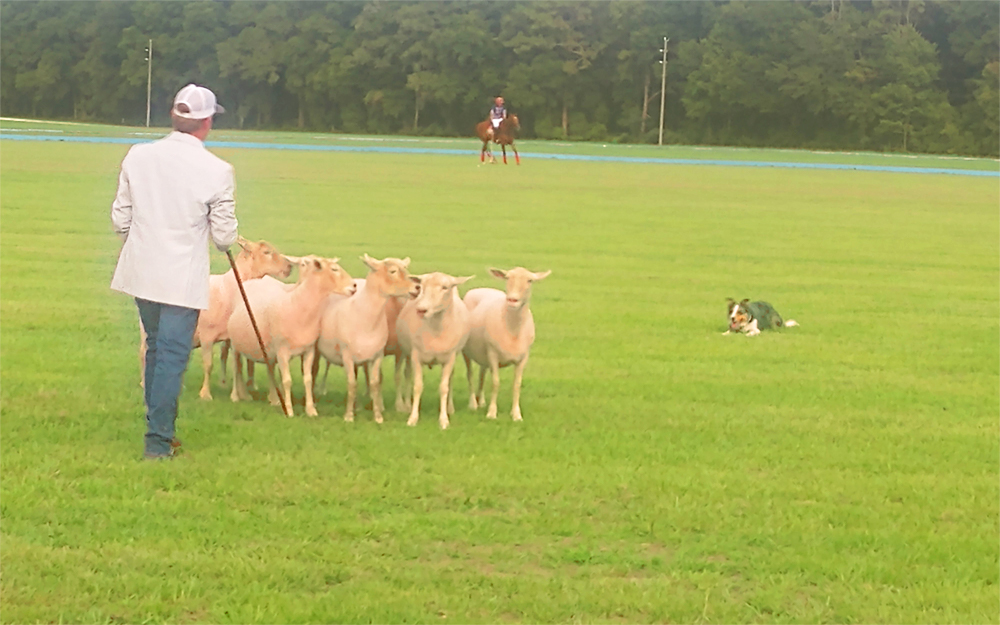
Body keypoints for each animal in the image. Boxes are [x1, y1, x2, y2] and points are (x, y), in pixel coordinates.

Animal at [227, 254, 356, 414]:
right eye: (334, 269)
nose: (354, 285)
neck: (297, 305)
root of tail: (253, 281)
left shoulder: (309, 350)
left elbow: (308, 379)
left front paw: (310, 409)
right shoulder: (282, 350)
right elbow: (287, 380)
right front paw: (289, 410)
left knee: (268, 369)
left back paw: (274, 399)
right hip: (235, 343)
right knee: (236, 367)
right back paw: (236, 396)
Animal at [318, 254, 416, 424]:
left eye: (406, 269)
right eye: (393, 271)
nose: (418, 287)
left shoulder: (378, 355)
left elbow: (376, 383)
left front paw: (378, 415)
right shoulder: (347, 355)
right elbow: (351, 384)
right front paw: (349, 416)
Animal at [396, 272, 474, 428]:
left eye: (445, 287)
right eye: (422, 287)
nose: (421, 310)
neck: (436, 329)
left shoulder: (449, 358)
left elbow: (444, 387)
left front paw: (444, 420)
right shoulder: (415, 355)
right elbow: (417, 386)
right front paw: (413, 418)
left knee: (450, 380)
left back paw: (450, 408)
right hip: (406, 352)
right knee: (407, 374)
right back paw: (407, 405)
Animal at [462, 266, 552, 422]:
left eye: (530, 280)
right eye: (507, 277)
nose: (512, 300)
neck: (513, 329)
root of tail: (480, 289)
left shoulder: (523, 357)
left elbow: (517, 384)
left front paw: (516, 414)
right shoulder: (493, 353)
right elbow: (495, 383)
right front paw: (492, 413)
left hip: (482, 353)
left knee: (481, 373)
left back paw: (481, 401)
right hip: (466, 351)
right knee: (470, 374)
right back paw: (473, 403)